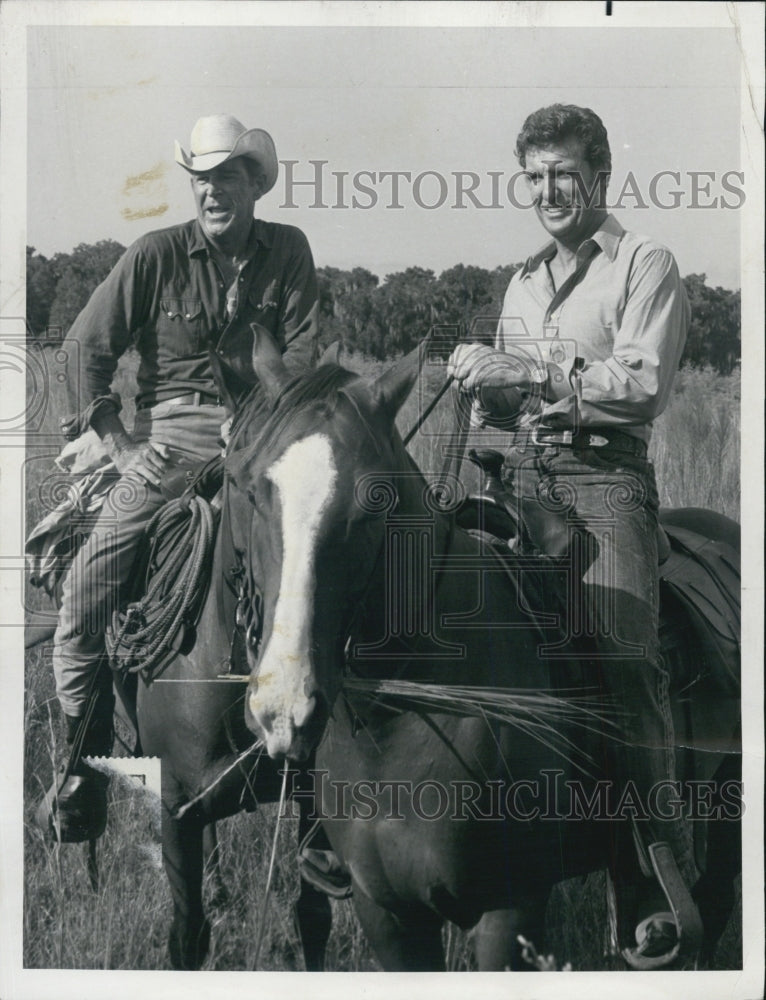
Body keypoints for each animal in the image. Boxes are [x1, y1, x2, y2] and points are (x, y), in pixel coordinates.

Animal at [230, 334, 744, 968]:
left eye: (373, 501)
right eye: (249, 487)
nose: (283, 708)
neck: (396, 723)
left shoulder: (509, 909)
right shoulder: (388, 915)